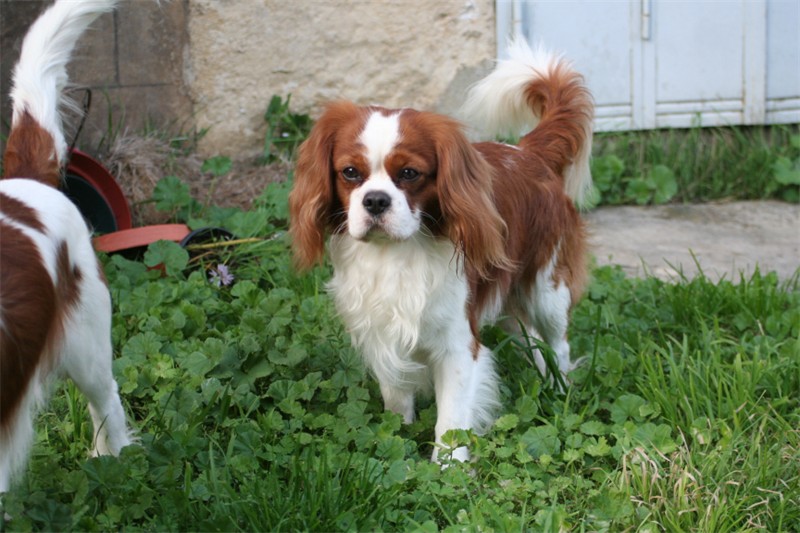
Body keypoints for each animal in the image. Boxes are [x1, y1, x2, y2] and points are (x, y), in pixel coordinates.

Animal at [290, 38, 592, 462]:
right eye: (350, 173)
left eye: (409, 174)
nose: (376, 200)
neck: (396, 255)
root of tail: (528, 152)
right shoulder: (382, 334)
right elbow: (396, 399)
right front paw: (396, 442)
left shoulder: (457, 346)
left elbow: (450, 423)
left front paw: (447, 469)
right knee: (531, 336)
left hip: (546, 288)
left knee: (558, 344)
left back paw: (558, 390)